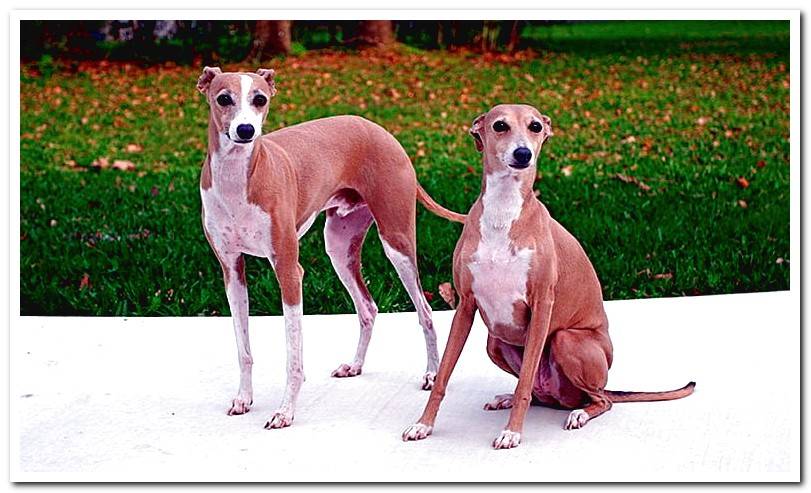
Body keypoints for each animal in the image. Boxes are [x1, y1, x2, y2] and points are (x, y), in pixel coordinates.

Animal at [402, 104, 696, 450]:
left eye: (535, 126)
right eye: (499, 126)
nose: (523, 153)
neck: (503, 212)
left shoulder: (541, 305)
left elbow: (524, 383)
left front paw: (512, 432)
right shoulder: (465, 305)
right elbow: (444, 376)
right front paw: (423, 425)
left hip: (565, 340)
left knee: (600, 399)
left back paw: (579, 413)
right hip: (495, 342)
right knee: (539, 392)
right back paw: (508, 398)